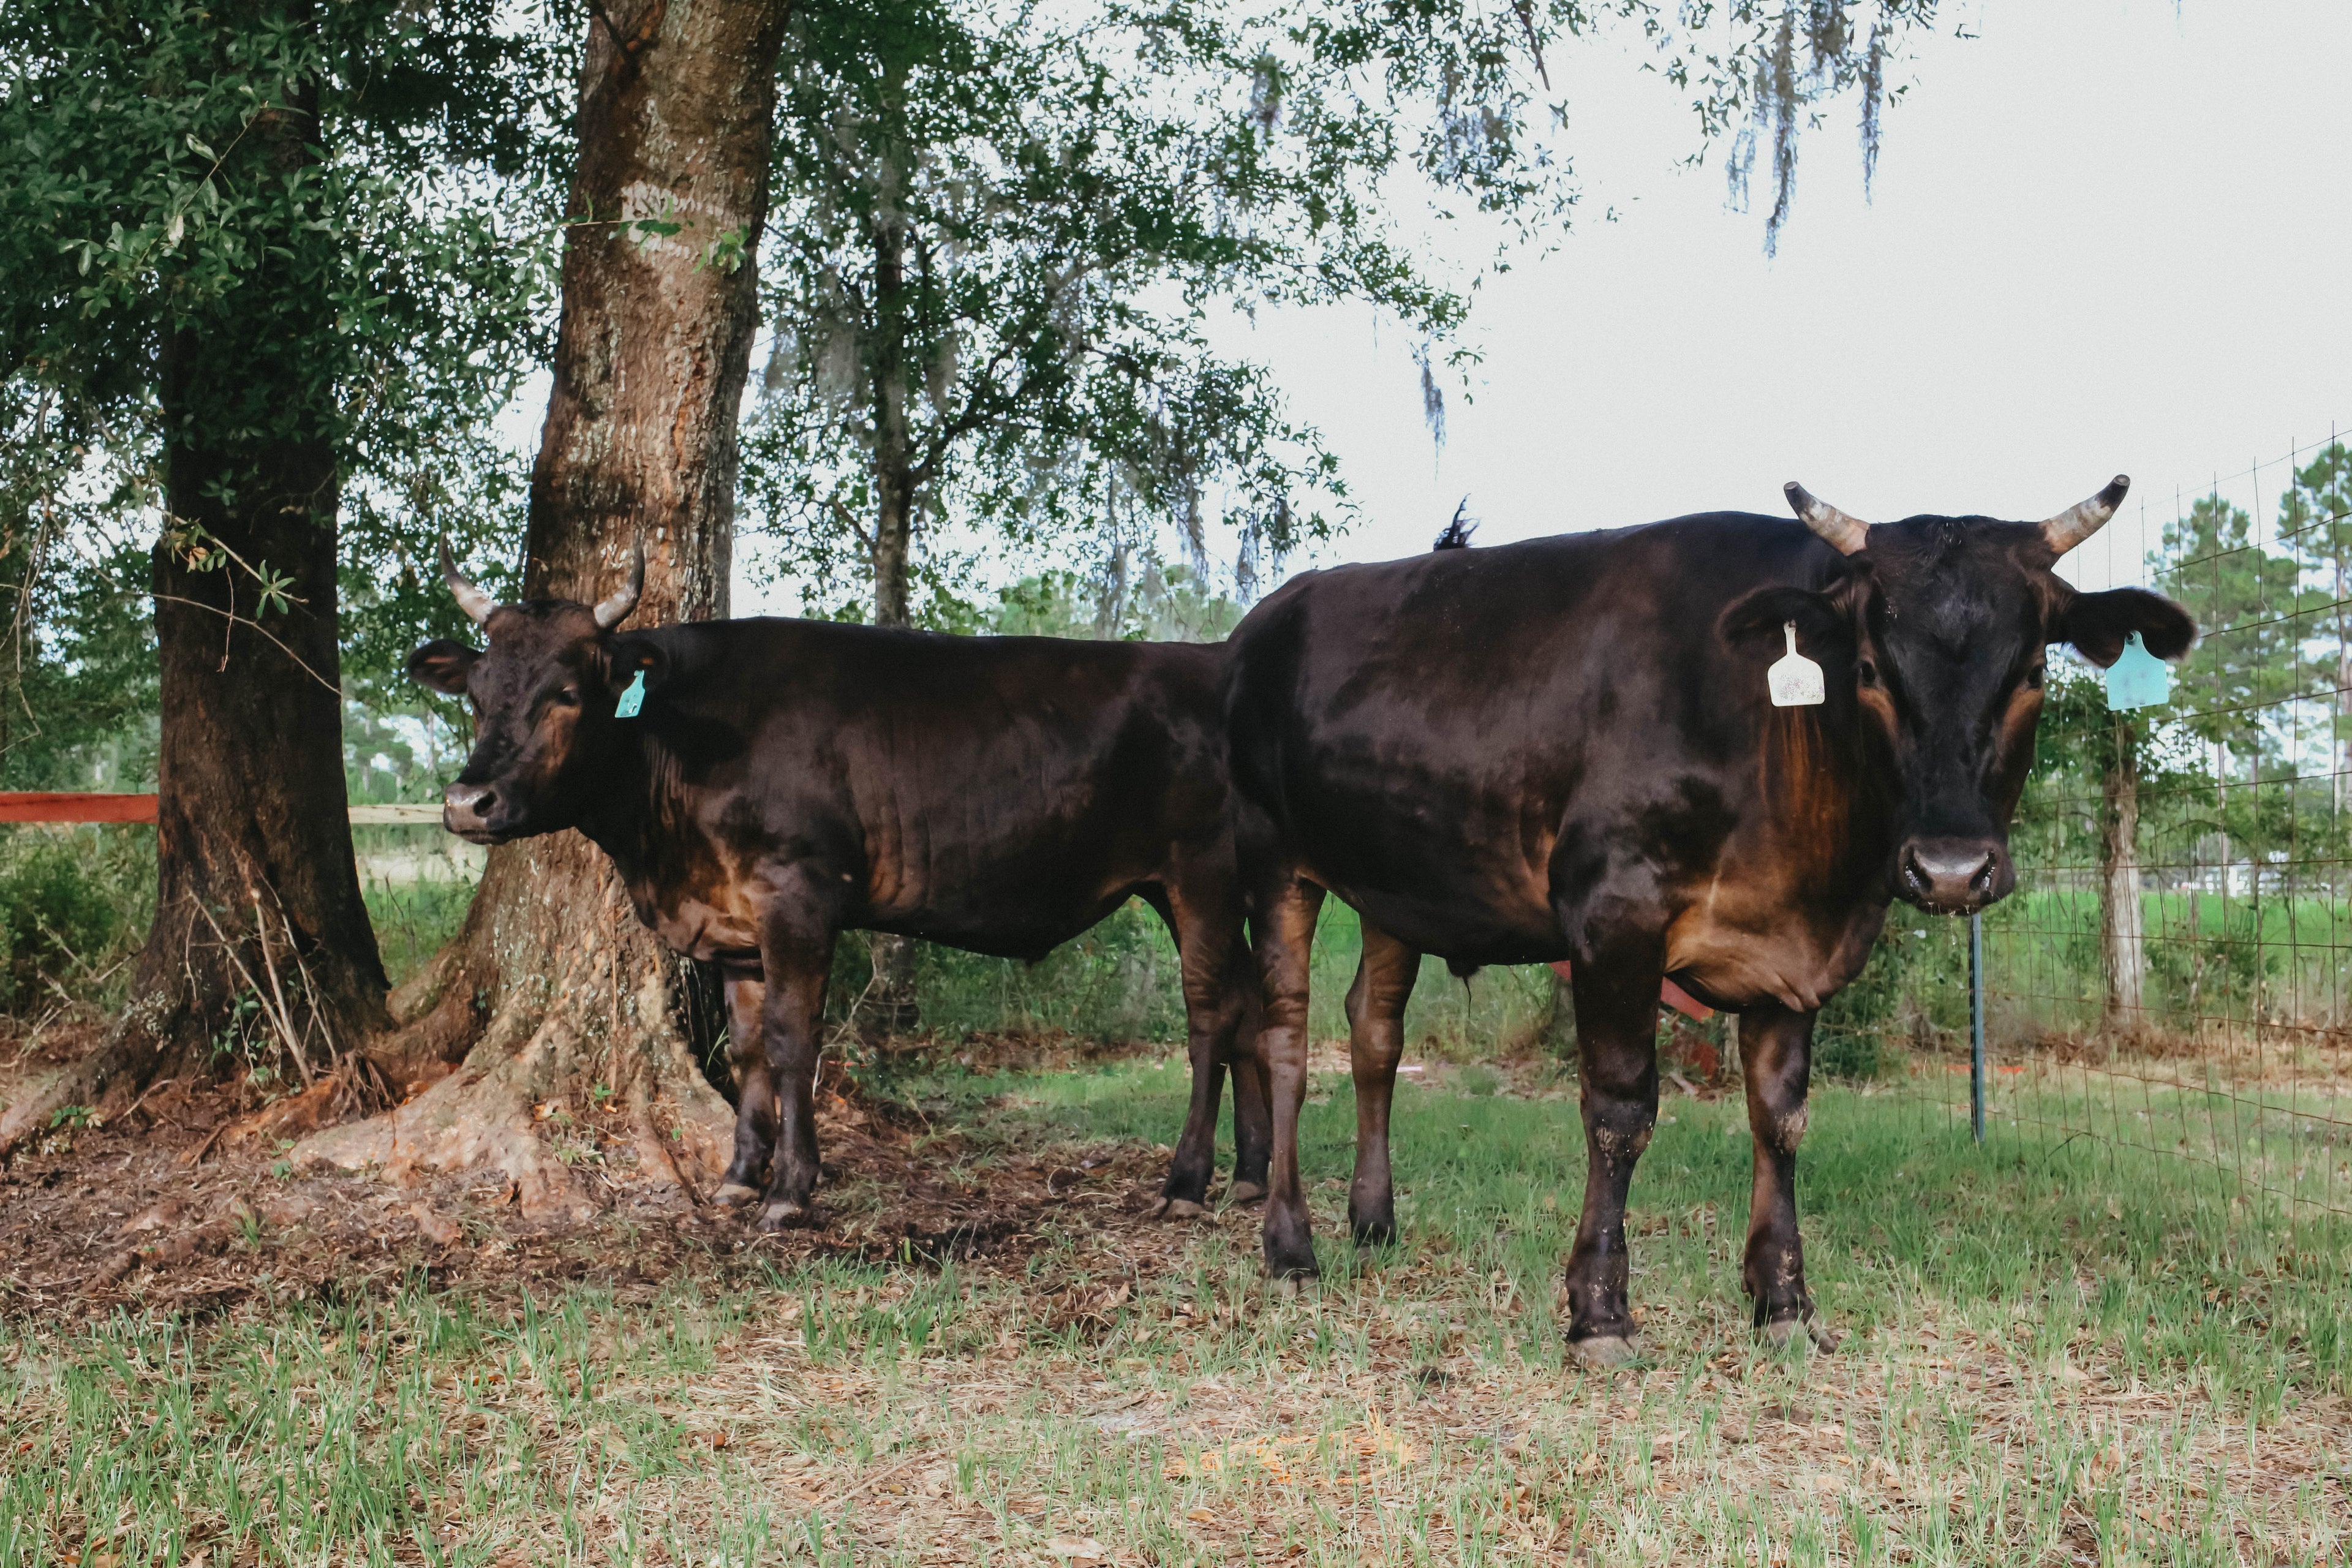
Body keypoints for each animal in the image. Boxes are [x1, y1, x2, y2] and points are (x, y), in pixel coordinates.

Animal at [410, 543, 1270, 1228]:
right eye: (477, 695)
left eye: (567, 693)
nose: (467, 801)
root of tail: (1214, 660)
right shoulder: (736, 923)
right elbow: (748, 1048)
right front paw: (737, 1178)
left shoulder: (797, 895)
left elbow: (794, 1041)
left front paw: (790, 1191)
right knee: (1252, 1005)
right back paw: (1254, 1179)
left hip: (1200, 875)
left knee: (1209, 1015)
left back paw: (1187, 1183)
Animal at [1224, 478, 2194, 1364]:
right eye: (1870, 671)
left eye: (2033, 673)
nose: (1951, 868)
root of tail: (1262, 620)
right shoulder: (1613, 915)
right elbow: (1621, 1112)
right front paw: (1600, 1313)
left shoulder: (1792, 956)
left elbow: (1781, 1116)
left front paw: (1785, 1302)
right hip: (1271, 859)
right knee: (1282, 1038)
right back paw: (1290, 1245)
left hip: (1391, 885)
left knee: (1374, 1031)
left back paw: (1372, 1222)